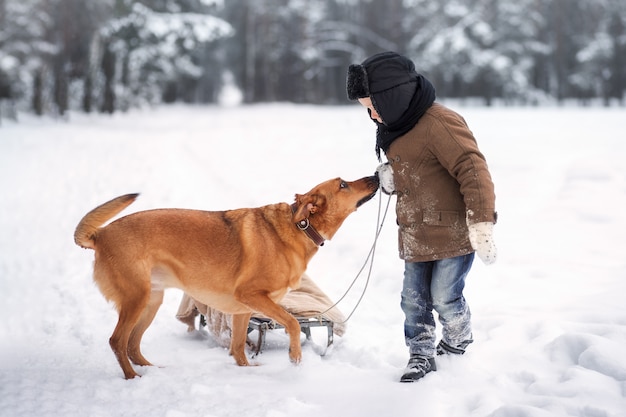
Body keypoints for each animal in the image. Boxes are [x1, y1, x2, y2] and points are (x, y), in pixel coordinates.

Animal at [73, 175, 376, 376]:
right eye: (343, 184)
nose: (374, 175)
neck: (300, 226)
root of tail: (100, 235)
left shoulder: (243, 309)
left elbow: (239, 346)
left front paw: (247, 371)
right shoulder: (253, 296)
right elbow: (291, 322)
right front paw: (295, 357)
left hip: (151, 301)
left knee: (133, 345)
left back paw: (153, 370)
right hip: (137, 299)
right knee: (117, 341)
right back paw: (134, 378)